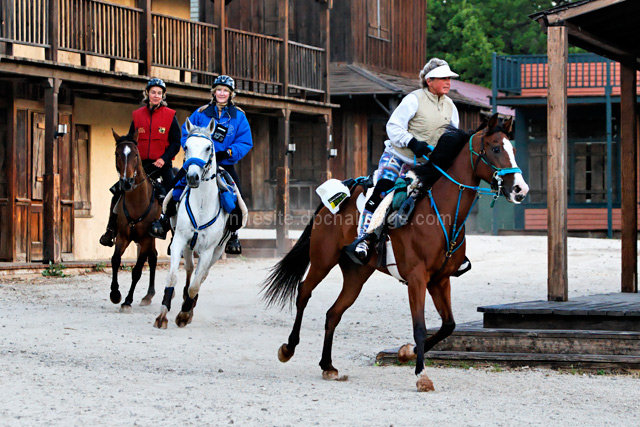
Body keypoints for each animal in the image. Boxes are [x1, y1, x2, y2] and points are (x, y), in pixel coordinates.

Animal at [109, 130, 161, 314]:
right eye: (117, 154)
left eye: (136, 154)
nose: (127, 182)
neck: (138, 202)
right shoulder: (123, 236)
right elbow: (115, 260)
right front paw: (115, 294)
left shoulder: (145, 239)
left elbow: (137, 271)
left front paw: (127, 301)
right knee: (154, 257)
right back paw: (148, 295)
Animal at [154, 118, 234, 330]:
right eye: (187, 146)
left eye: (208, 147)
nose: (192, 177)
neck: (201, 205)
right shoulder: (180, 241)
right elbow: (173, 277)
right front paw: (162, 315)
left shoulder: (208, 250)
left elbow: (195, 285)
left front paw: (184, 314)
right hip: (189, 247)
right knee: (190, 269)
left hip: (217, 251)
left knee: (201, 275)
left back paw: (189, 308)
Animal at [262, 113, 528, 392]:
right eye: (496, 148)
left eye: (513, 150)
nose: (520, 189)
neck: (441, 214)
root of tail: (337, 198)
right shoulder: (417, 278)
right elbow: (420, 327)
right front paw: (421, 375)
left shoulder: (440, 280)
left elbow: (448, 325)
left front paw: (407, 352)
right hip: (323, 260)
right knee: (304, 292)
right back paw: (288, 348)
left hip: (357, 274)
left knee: (333, 313)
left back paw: (328, 365)